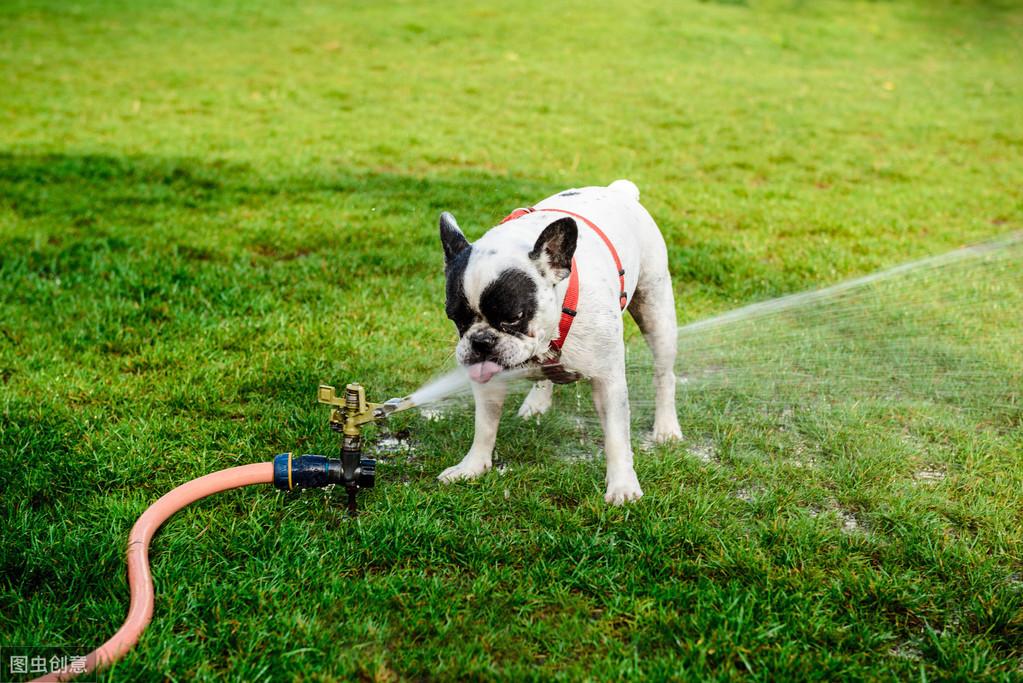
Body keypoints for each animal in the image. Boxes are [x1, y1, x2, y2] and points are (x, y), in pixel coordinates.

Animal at [437, 178, 683, 505]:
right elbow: (485, 426)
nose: (481, 341)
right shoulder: (488, 380)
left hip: (657, 313)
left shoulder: (608, 381)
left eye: (514, 317)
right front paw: (473, 466)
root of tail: (618, 190)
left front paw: (622, 486)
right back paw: (537, 402)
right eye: (454, 317)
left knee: (664, 374)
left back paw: (666, 428)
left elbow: (617, 436)